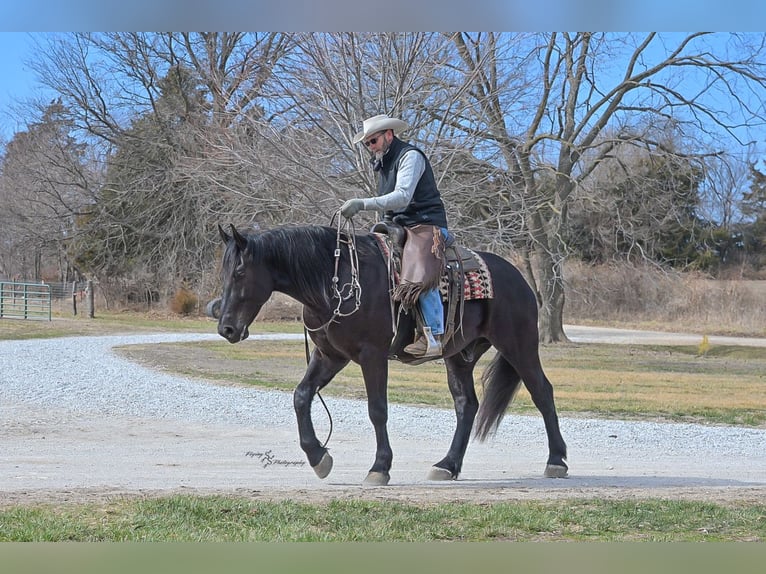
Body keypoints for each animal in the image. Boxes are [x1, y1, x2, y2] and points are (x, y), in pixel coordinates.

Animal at [215, 222, 568, 486]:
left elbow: (377, 410)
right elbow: (301, 396)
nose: (227, 328)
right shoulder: (330, 355)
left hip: (518, 344)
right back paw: (447, 465)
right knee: (466, 405)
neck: (333, 281)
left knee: (542, 392)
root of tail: (518, 278)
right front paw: (318, 457)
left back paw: (557, 461)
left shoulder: (372, 356)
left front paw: (379, 467)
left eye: (240, 274)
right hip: (458, 356)